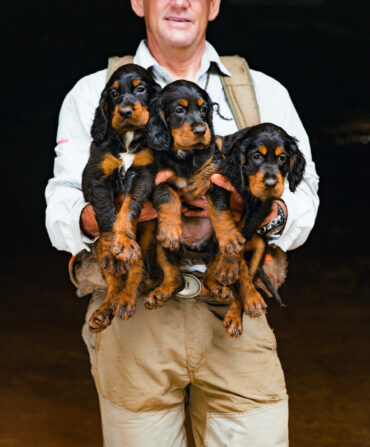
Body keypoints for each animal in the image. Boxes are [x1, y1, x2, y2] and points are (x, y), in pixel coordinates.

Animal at [81, 65, 160, 332]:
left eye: (141, 89)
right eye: (113, 94)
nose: (124, 111)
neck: (127, 138)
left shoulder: (144, 173)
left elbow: (128, 206)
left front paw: (123, 242)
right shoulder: (98, 179)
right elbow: (107, 214)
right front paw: (112, 248)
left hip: (148, 238)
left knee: (138, 269)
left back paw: (126, 300)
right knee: (114, 282)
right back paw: (105, 310)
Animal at [145, 80, 246, 310]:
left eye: (204, 109)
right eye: (179, 110)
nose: (201, 129)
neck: (184, 154)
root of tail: (193, 250)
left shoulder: (218, 176)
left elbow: (219, 208)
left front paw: (230, 236)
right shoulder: (156, 177)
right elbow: (168, 196)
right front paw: (171, 229)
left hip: (215, 247)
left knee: (210, 275)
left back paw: (220, 289)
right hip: (160, 246)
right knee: (174, 277)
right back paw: (160, 293)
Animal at [204, 122, 304, 336]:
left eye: (282, 158)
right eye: (256, 156)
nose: (271, 184)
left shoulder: (262, 207)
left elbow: (242, 241)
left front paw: (230, 266)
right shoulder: (218, 180)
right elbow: (225, 221)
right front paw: (229, 264)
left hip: (260, 245)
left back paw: (241, 307)